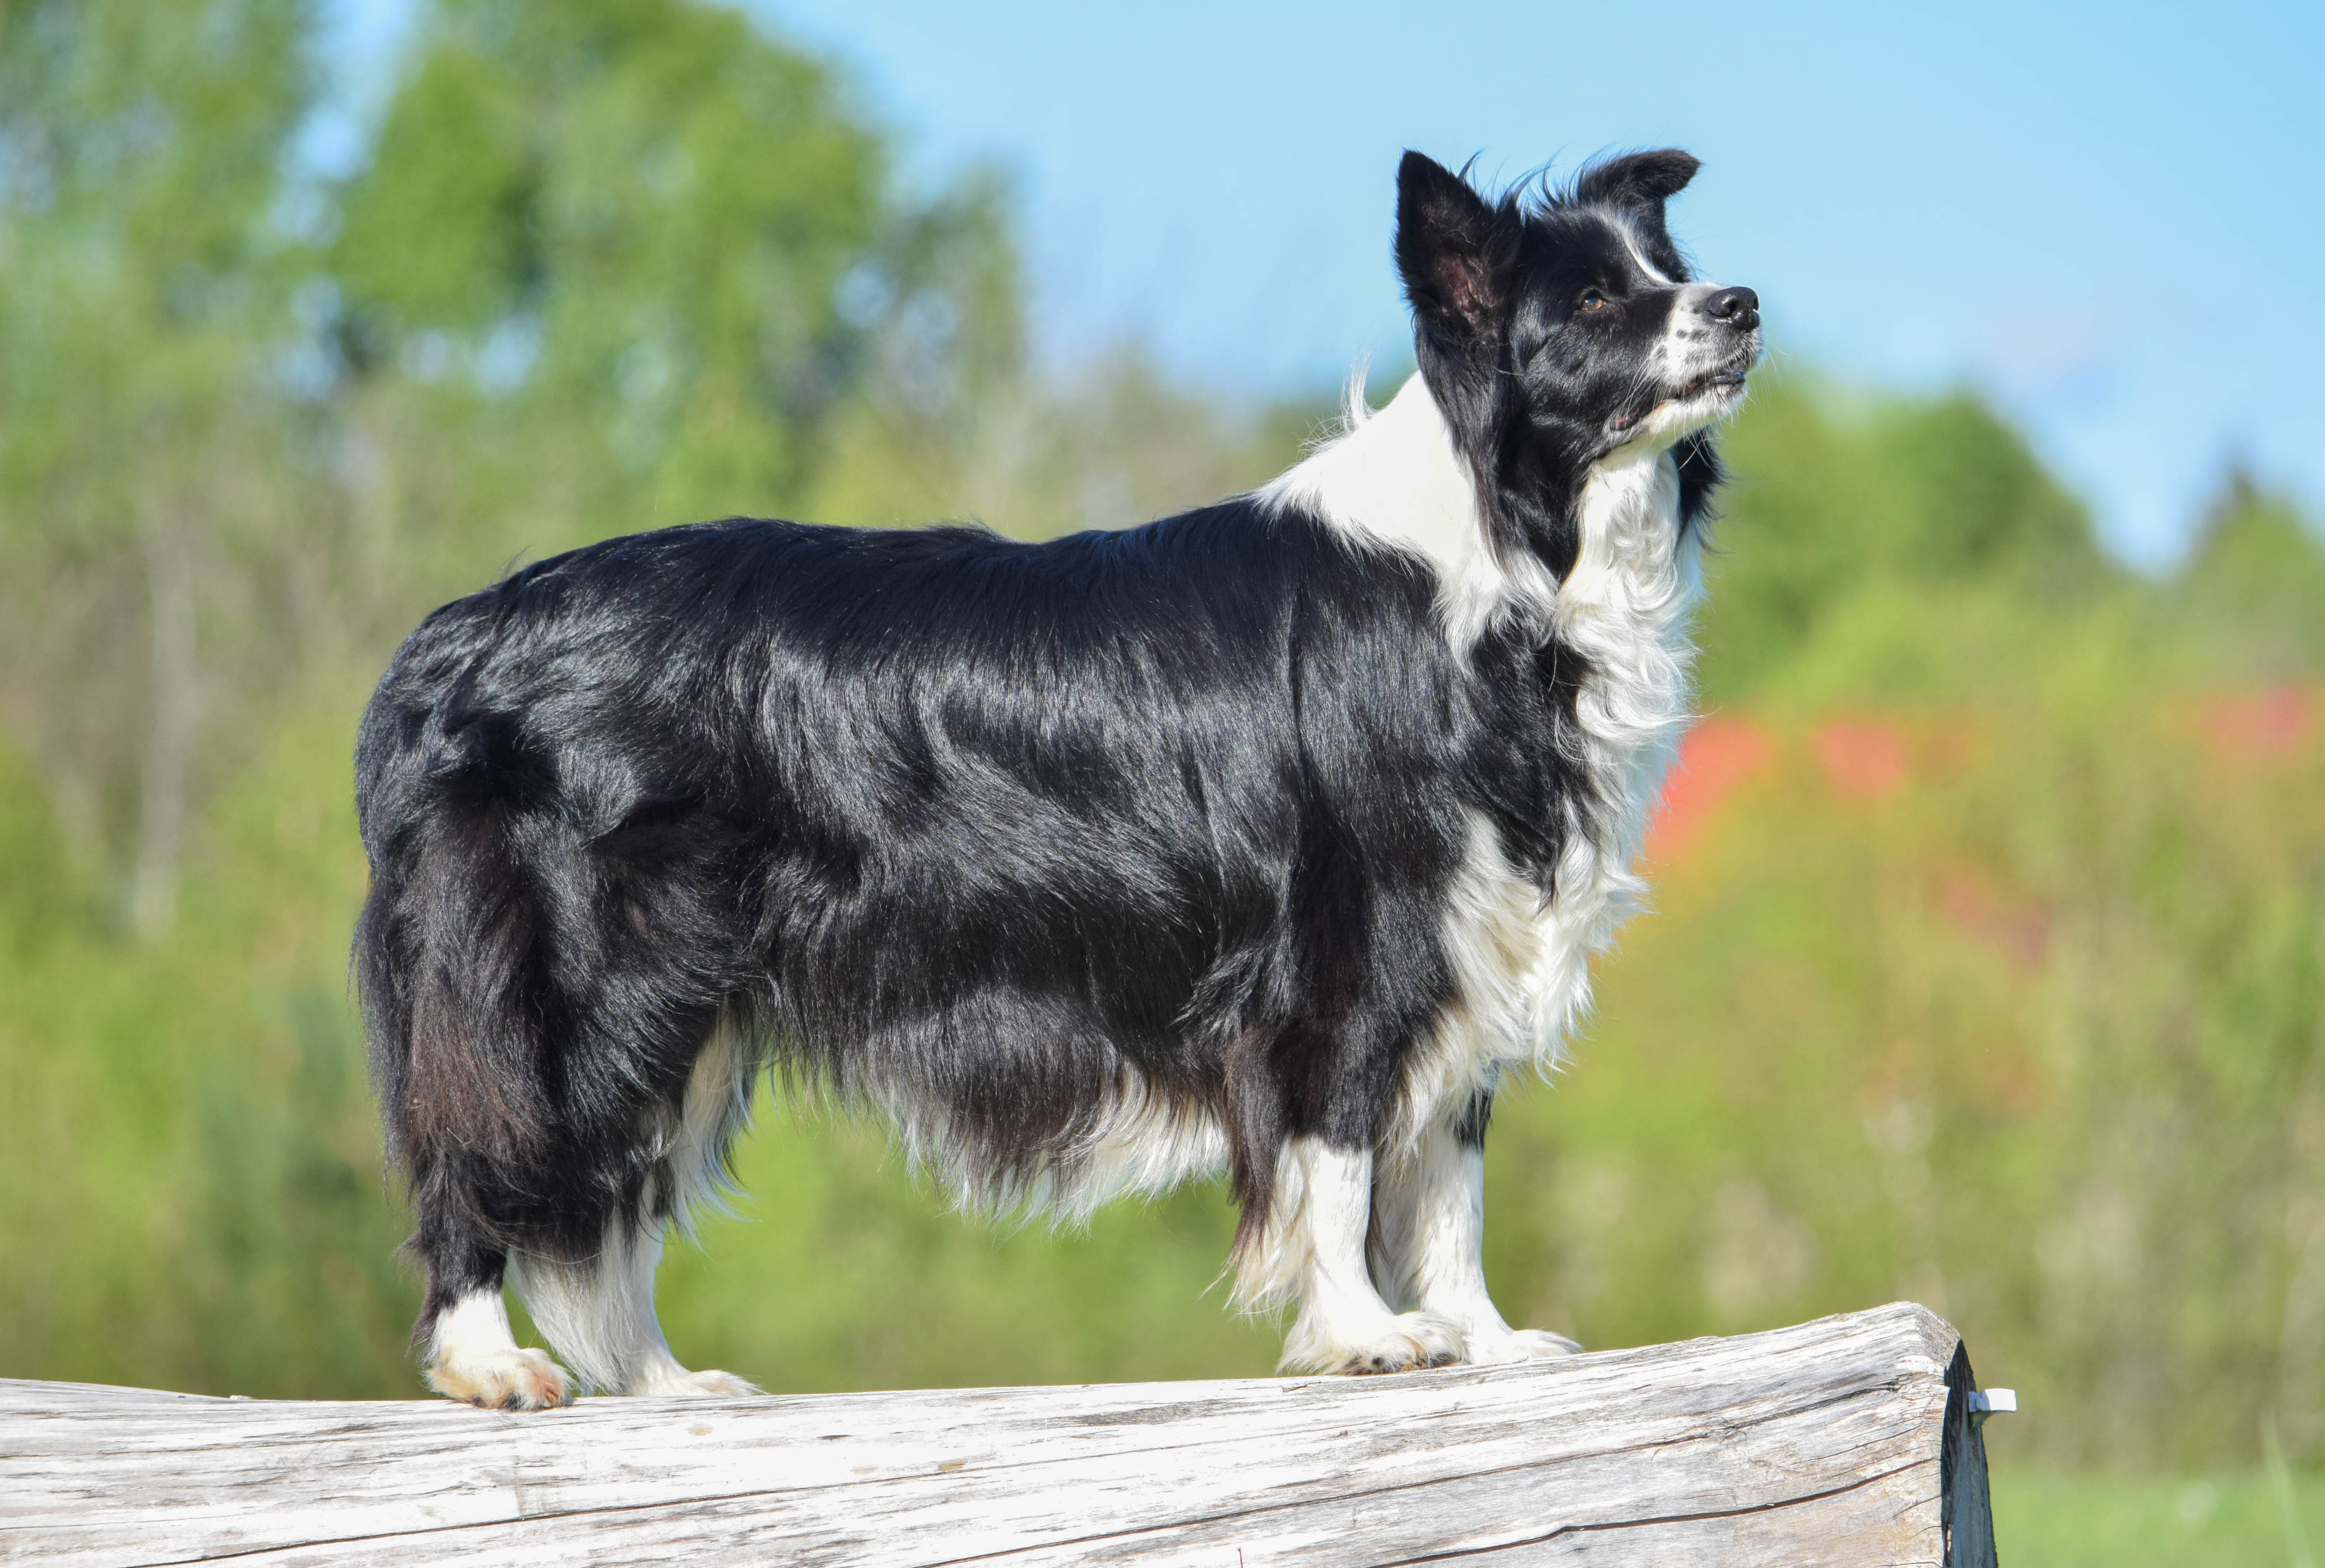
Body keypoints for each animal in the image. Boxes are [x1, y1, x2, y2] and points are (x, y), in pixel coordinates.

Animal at [353, 148, 1760, 1407]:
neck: (1509, 554)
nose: (1742, 301)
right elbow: (1345, 1154)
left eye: (1668, 267)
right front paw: (1368, 1335)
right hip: (575, 976)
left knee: (618, 1195)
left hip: (681, 1000)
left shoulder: (1479, 930)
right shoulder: (1353, 944)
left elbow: (1449, 1181)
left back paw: (664, 1383)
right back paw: (488, 1362)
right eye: (1595, 302)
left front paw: (1486, 1338)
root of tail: (448, 638)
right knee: (488, 1149)